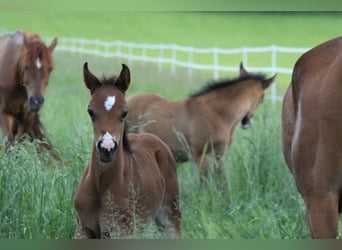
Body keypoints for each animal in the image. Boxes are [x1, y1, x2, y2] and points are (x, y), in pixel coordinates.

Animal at [74, 62, 183, 238]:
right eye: (90, 111)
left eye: (125, 112)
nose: (107, 148)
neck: (101, 185)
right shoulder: (83, 229)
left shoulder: (121, 230)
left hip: (170, 214)